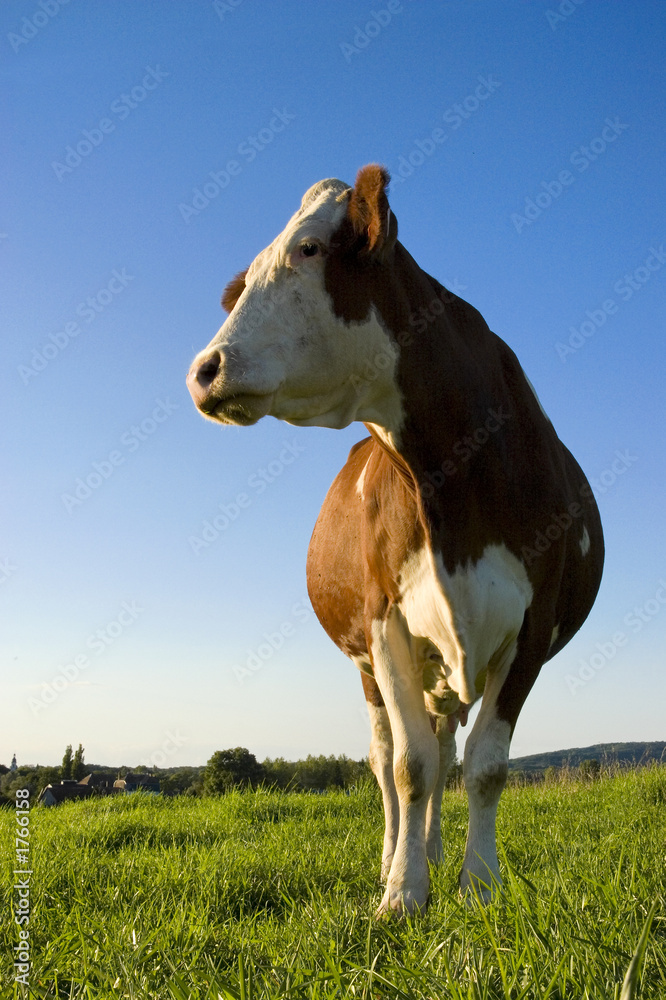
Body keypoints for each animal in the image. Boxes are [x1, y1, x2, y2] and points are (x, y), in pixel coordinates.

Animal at [186, 165, 604, 915]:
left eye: (309, 249)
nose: (204, 370)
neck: (453, 486)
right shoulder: (385, 624)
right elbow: (410, 768)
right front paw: (403, 895)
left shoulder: (532, 627)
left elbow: (486, 768)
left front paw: (479, 887)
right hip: (370, 664)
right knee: (391, 760)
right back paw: (397, 858)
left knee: (446, 751)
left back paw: (434, 852)